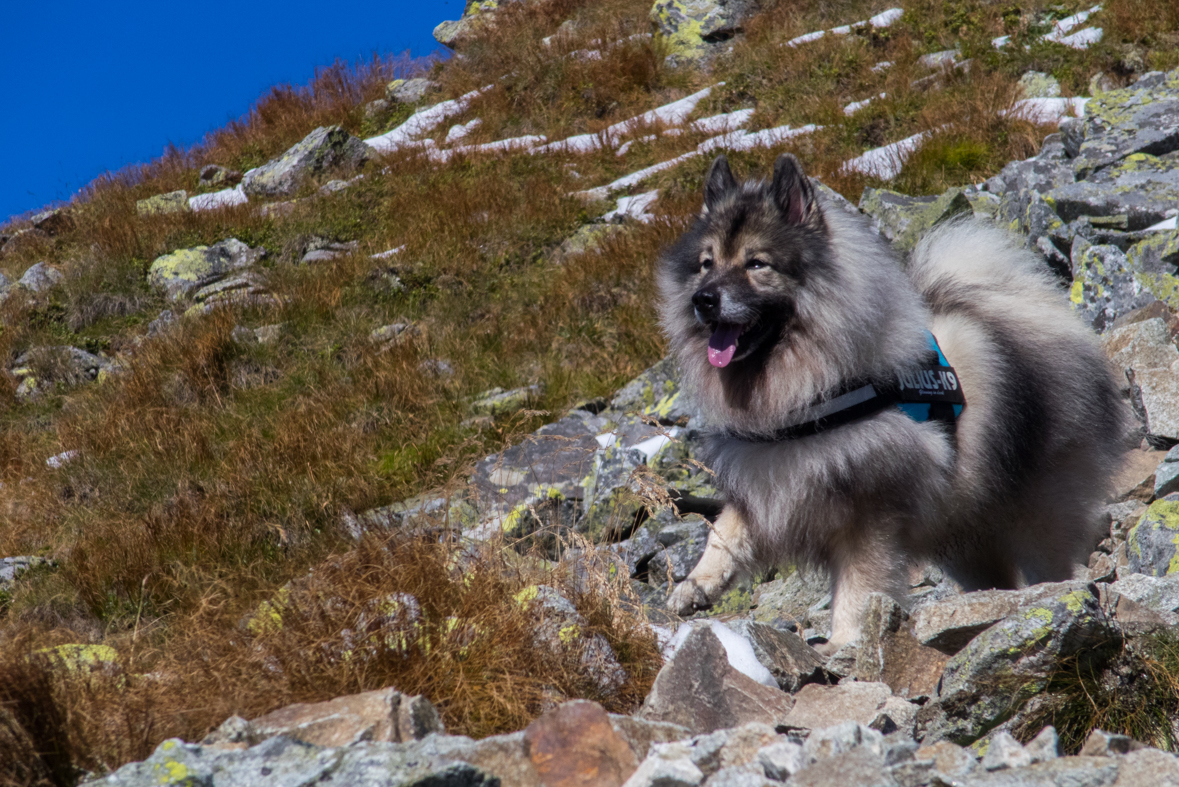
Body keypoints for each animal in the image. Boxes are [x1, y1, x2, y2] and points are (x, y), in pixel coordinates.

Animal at [660, 153, 1127, 650]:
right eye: (706, 264)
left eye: (756, 263)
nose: (703, 300)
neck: (807, 389)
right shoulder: (767, 475)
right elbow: (725, 532)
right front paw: (695, 585)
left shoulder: (868, 515)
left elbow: (858, 587)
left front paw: (845, 644)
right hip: (966, 535)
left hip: (1036, 514)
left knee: (1051, 562)